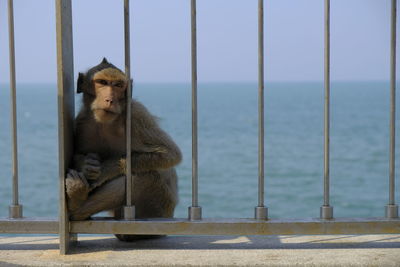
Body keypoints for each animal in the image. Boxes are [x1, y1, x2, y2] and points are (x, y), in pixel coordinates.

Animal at [65, 58, 181, 243]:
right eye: (102, 82)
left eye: (118, 85)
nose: (110, 99)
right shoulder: (82, 122)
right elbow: (78, 154)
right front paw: (87, 165)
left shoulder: (137, 115)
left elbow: (170, 155)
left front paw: (106, 168)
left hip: (157, 209)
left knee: (141, 177)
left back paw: (76, 203)